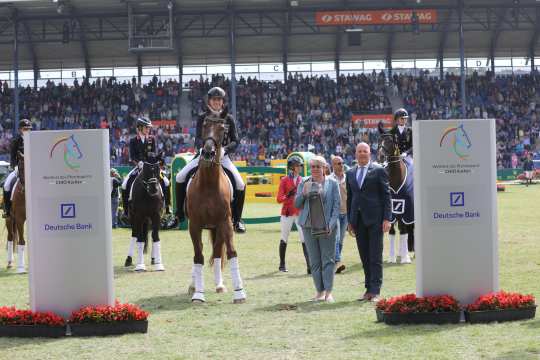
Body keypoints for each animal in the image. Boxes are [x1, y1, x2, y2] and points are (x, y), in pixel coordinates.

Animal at [185, 114, 246, 304]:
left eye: (223, 129)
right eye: (204, 126)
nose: (207, 153)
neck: (209, 185)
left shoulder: (224, 223)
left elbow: (231, 252)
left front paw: (239, 293)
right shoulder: (194, 225)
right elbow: (198, 256)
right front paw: (198, 294)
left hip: (218, 228)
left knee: (218, 252)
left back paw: (219, 285)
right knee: (200, 252)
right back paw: (193, 285)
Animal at [378, 124, 416, 264]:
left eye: (390, 141)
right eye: (379, 140)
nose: (381, 157)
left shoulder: (407, 208)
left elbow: (404, 231)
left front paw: (405, 258)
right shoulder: (391, 210)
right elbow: (392, 232)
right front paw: (392, 258)